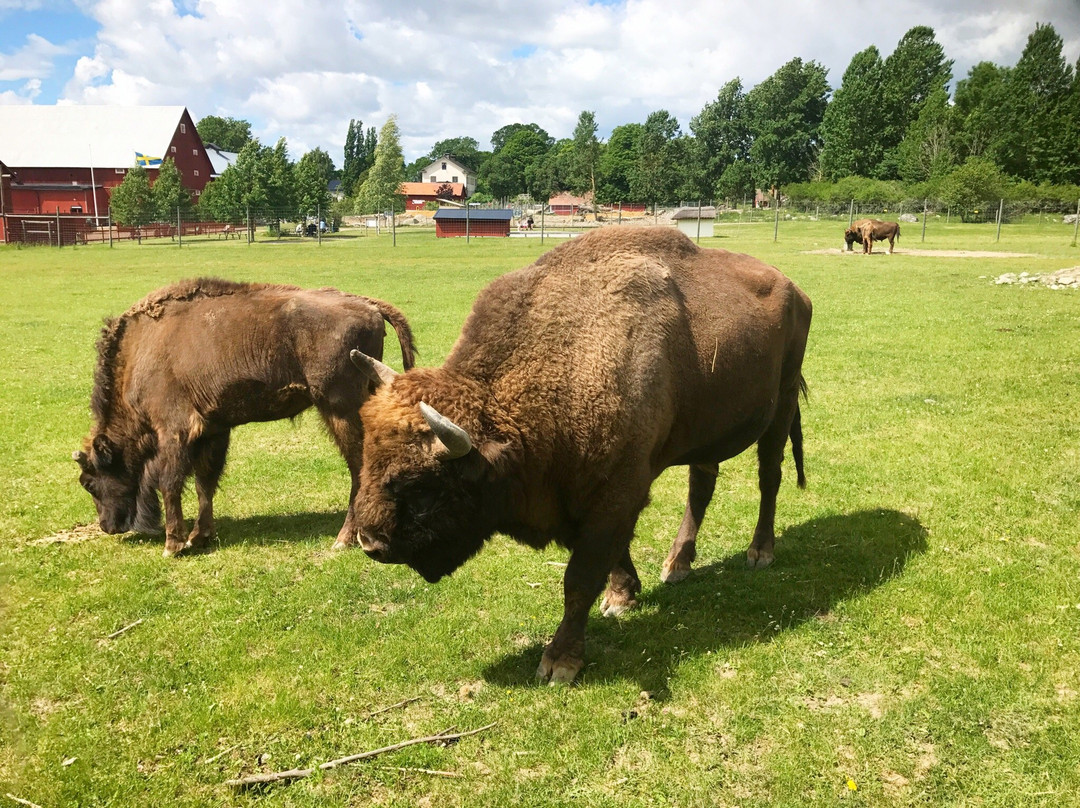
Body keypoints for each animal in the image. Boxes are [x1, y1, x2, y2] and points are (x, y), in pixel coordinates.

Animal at [72, 278, 416, 557]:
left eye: (89, 482)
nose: (107, 526)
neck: (141, 351)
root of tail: (369, 305)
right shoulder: (213, 429)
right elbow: (205, 482)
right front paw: (200, 536)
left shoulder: (173, 431)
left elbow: (170, 483)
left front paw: (173, 545)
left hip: (338, 410)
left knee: (359, 468)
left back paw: (344, 539)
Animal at [345, 226, 812, 682]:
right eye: (369, 459)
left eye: (424, 489)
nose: (369, 543)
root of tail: (796, 290)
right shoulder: (580, 496)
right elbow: (608, 560)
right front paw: (622, 596)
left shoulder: (616, 494)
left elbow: (580, 578)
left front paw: (560, 661)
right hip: (707, 429)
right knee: (702, 486)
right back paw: (678, 564)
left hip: (782, 404)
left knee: (769, 478)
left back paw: (760, 553)